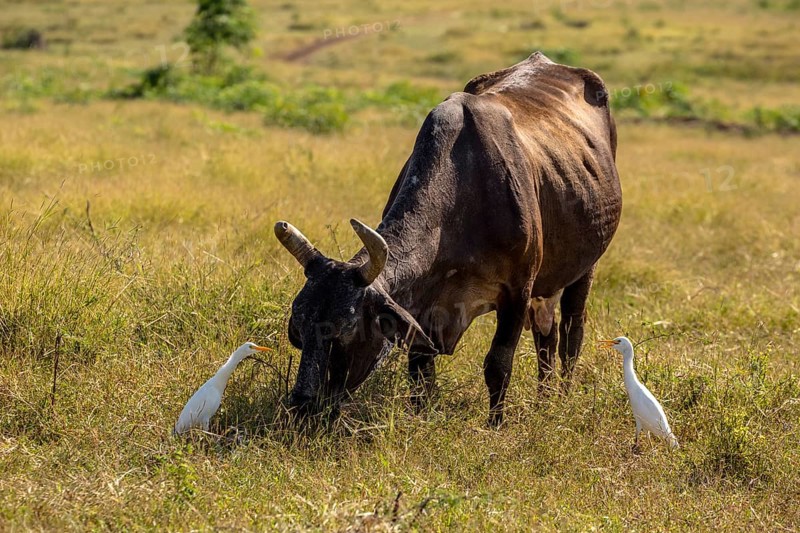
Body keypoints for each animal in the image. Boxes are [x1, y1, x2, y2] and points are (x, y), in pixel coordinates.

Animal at [274, 52, 622, 425]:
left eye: (346, 328)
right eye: (298, 328)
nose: (302, 406)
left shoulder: (518, 292)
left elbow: (498, 365)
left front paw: (495, 425)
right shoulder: (421, 307)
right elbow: (420, 372)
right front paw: (422, 417)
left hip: (585, 268)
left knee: (571, 334)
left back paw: (560, 397)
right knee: (548, 333)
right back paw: (543, 399)